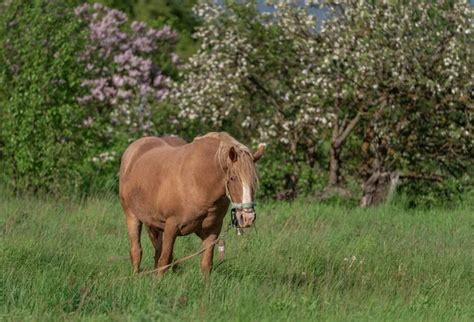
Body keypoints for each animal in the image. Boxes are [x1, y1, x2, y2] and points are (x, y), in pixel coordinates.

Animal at [118, 132, 264, 276]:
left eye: (254, 180)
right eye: (233, 178)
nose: (247, 217)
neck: (197, 181)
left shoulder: (212, 230)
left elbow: (206, 264)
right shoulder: (171, 226)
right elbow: (164, 261)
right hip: (132, 216)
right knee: (136, 251)